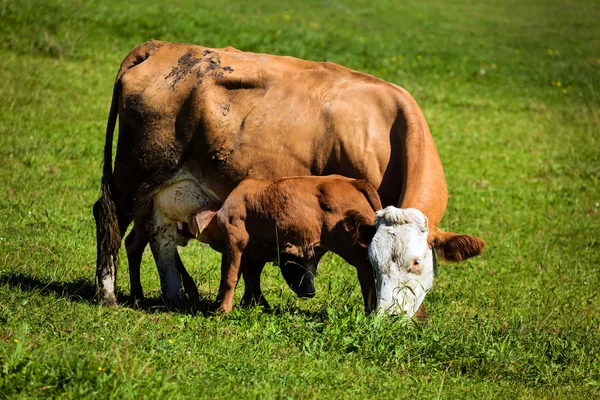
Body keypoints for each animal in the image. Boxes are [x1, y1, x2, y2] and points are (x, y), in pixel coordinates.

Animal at [95, 40, 488, 310]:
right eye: (376, 261)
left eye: (416, 262)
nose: (389, 317)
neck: (383, 126)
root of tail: (160, 47)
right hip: (135, 175)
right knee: (108, 217)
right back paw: (108, 293)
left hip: (166, 193)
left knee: (156, 237)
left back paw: (172, 294)